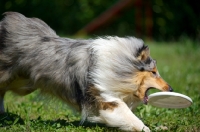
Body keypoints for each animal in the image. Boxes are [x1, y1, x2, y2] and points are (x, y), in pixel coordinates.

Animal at [0, 12, 172, 131]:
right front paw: (146, 128)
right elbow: (130, 116)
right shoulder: (105, 98)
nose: (171, 89)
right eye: (153, 72)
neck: (119, 65)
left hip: (23, 84)